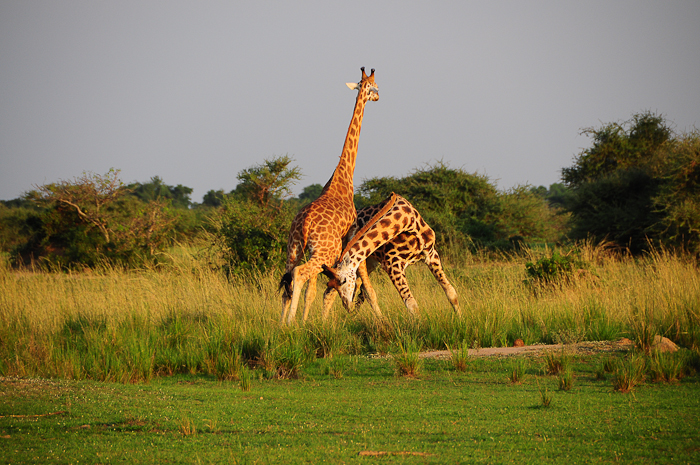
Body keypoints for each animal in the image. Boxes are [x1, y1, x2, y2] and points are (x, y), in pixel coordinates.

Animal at [278, 67, 378, 324]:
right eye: (375, 86)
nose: (378, 97)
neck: (343, 177)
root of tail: (304, 224)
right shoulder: (349, 235)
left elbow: (313, 291)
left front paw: (309, 322)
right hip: (324, 249)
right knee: (299, 274)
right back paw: (290, 323)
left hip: (294, 247)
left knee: (288, 279)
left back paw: (280, 325)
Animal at [322, 191, 462, 316]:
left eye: (343, 281)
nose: (346, 306)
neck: (406, 221)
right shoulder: (392, 264)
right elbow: (411, 304)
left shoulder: (431, 254)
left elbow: (452, 293)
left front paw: (459, 318)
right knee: (336, 293)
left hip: (369, 262)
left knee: (357, 291)